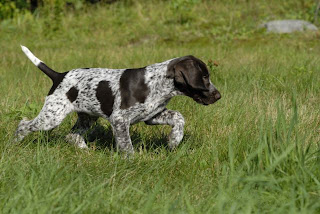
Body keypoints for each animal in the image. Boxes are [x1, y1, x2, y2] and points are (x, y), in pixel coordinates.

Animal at [14, 46, 220, 154]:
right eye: (204, 77)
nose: (218, 95)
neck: (157, 83)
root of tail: (59, 75)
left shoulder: (152, 115)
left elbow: (179, 117)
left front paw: (174, 140)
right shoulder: (119, 120)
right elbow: (126, 145)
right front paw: (132, 163)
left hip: (87, 117)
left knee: (72, 135)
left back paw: (86, 153)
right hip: (52, 117)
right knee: (23, 124)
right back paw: (15, 143)